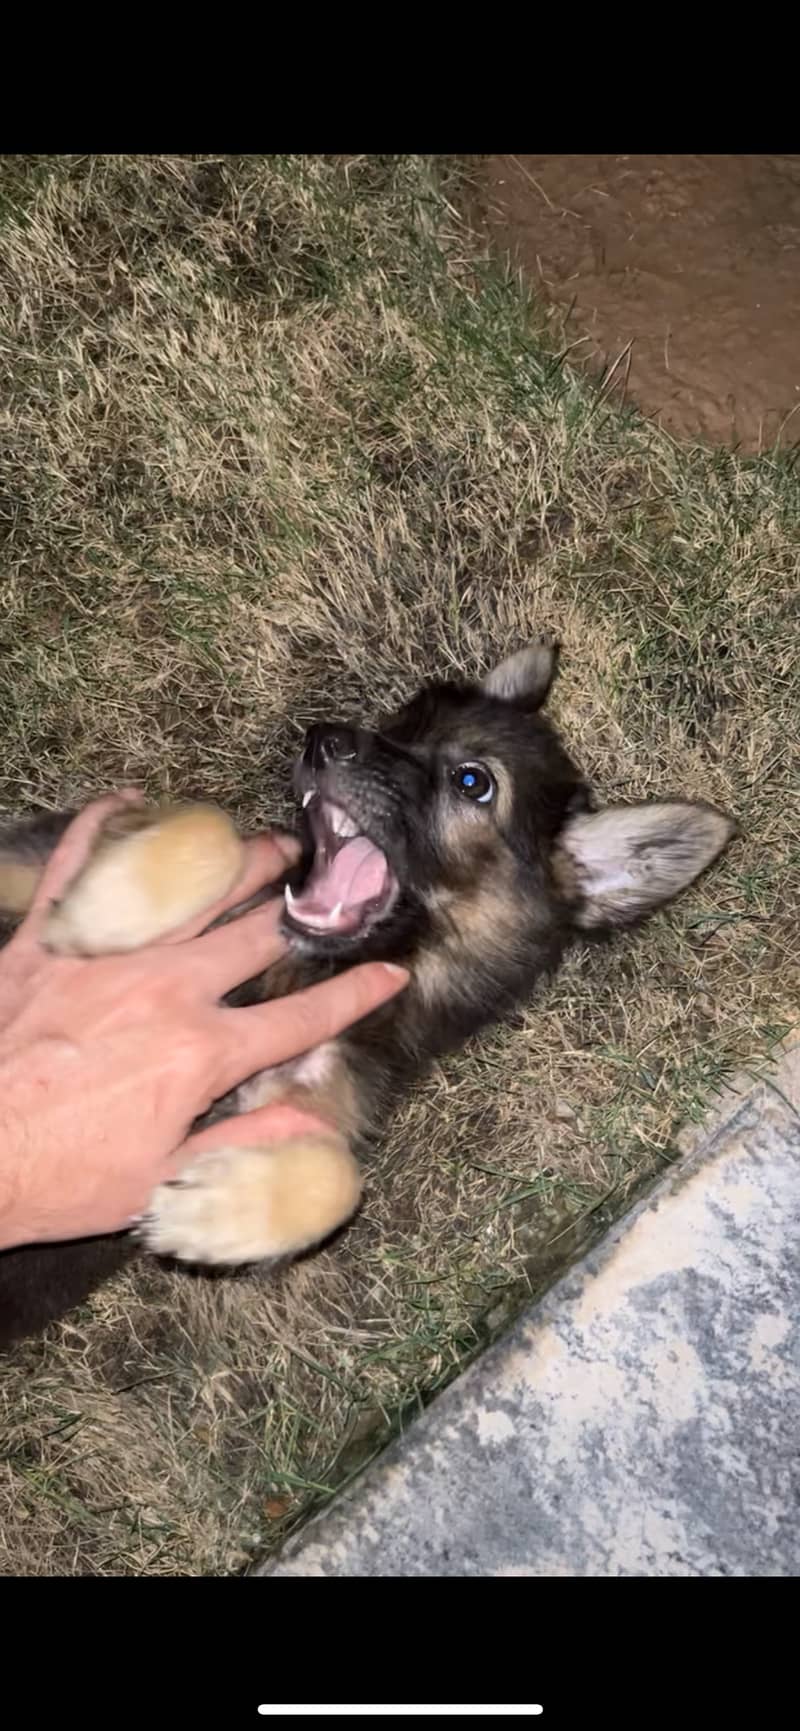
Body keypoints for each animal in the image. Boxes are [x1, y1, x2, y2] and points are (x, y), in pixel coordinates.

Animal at [0, 643, 730, 1343]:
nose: (323, 738)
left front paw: (209, 1207)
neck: (310, 971)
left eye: (473, 781)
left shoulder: (304, 1091)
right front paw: (103, 906)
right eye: (402, 722)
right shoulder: (47, 852)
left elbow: (339, 1179)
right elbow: (210, 828)